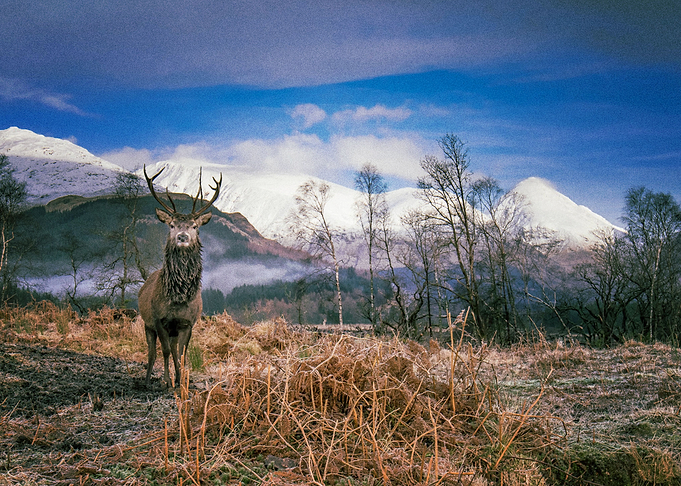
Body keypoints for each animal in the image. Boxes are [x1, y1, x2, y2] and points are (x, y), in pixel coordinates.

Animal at [139, 165, 222, 388]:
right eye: (172, 225)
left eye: (195, 226)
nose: (182, 237)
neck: (178, 298)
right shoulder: (159, 320)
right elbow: (166, 352)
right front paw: (167, 381)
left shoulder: (187, 323)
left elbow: (182, 353)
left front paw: (182, 380)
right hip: (147, 323)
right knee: (152, 352)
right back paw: (147, 381)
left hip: (174, 330)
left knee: (174, 349)